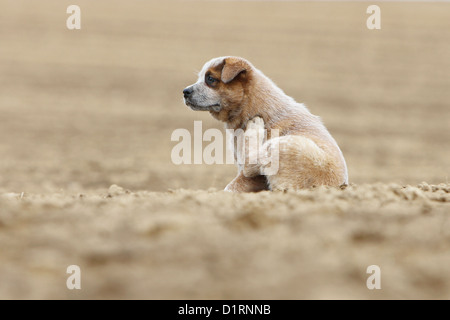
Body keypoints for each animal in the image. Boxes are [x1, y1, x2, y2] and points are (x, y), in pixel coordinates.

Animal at [183, 56, 348, 191]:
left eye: (210, 79)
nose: (185, 91)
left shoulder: (250, 176)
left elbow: (231, 187)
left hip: (284, 145)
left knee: (250, 164)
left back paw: (255, 127)